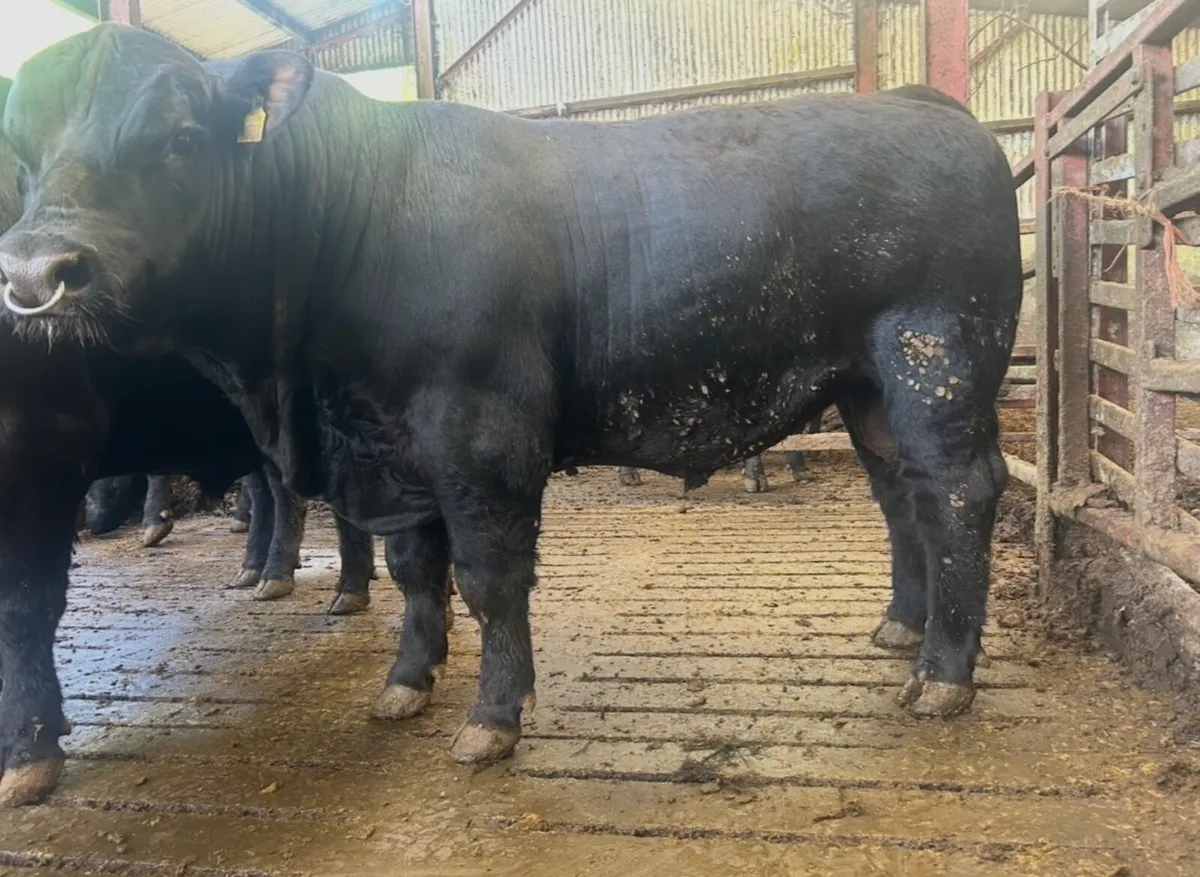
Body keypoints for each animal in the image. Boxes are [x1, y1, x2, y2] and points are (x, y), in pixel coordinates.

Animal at [0, 27, 1021, 770]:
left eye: (179, 137)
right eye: (22, 151)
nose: (40, 272)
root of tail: (921, 103)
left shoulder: (478, 429)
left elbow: (489, 576)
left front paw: (492, 716)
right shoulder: (392, 445)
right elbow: (415, 568)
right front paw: (408, 679)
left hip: (937, 360)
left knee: (960, 494)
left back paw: (942, 673)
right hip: (869, 392)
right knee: (902, 498)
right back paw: (902, 626)